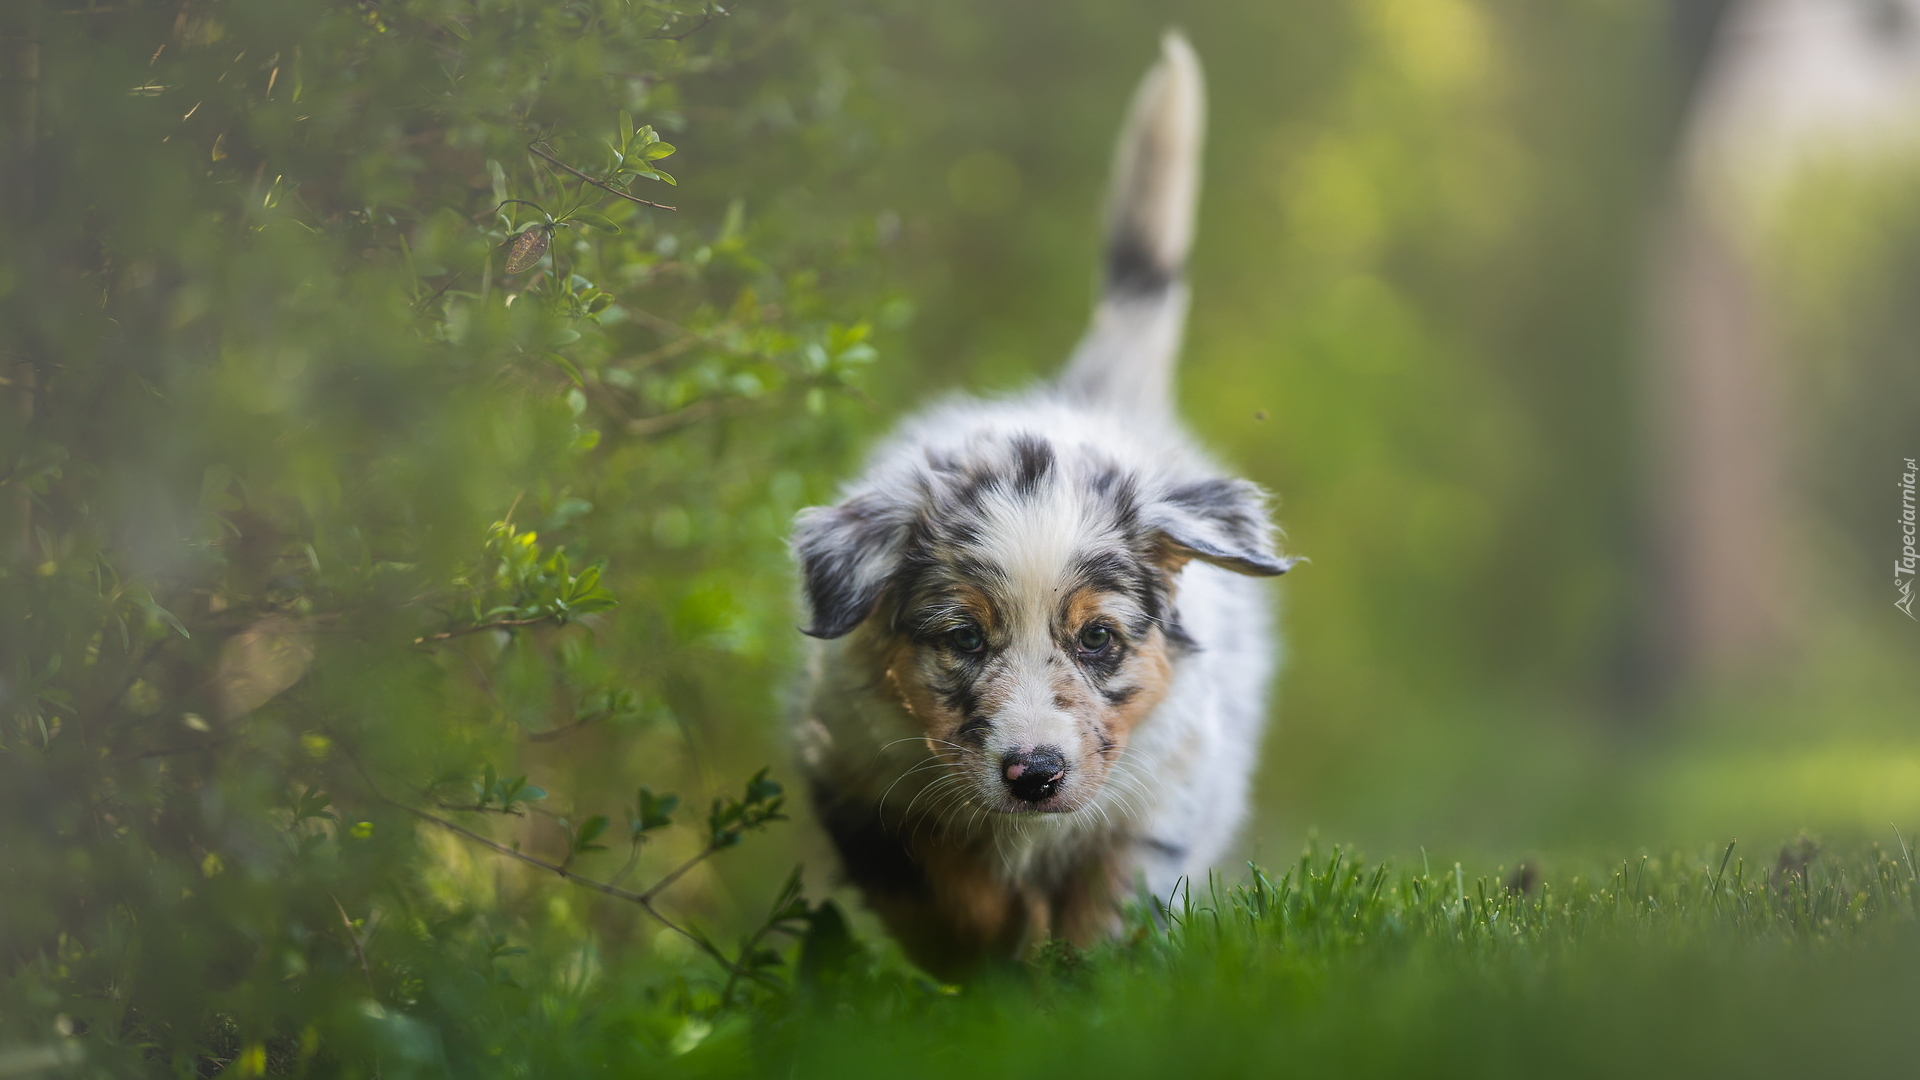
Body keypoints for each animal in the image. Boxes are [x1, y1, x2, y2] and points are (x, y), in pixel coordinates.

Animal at [787, 33, 1297, 976]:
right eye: (962, 639)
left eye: (1097, 640)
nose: (1034, 775)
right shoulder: (855, 774)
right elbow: (943, 893)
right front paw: (991, 957)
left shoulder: (1157, 800)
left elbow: (1108, 912)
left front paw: (1079, 979)